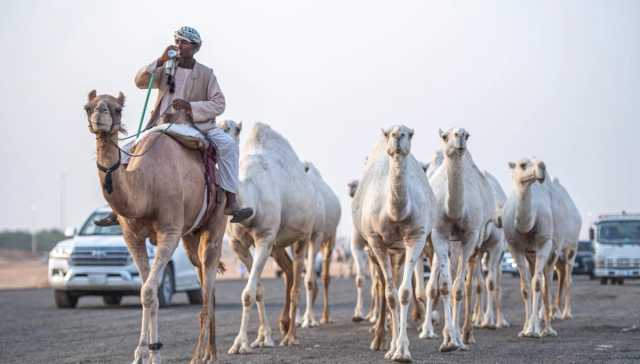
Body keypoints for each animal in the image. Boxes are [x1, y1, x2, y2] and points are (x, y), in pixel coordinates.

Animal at [84, 90, 226, 364]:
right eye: (88, 107)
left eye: (117, 108)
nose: (100, 115)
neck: (146, 185)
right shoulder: (132, 238)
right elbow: (145, 292)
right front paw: (144, 353)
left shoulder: (169, 232)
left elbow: (149, 291)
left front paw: (153, 353)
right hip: (190, 237)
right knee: (207, 284)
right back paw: (210, 352)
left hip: (215, 225)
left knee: (209, 281)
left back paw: (200, 355)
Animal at [224, 122, 318, 352]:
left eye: (235, 129)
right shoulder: (237, 244)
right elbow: (257, 290)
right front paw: (262, 337)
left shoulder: (265, 237)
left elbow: (248, 293)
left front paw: (240, 343)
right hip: (278, 244)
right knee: (288, 270)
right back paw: (281, 327)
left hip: (302, 236)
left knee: (296, 285)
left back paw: (291, 336)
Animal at [350, 125, 436, 362]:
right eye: (388, 133)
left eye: (410, 133)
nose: (398, 136)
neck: (396, 214)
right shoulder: (376, 241)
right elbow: (390, 296)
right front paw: (394, 348)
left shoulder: (415, 237)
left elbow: (403, 293)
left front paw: (403, 351)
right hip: (377, 249)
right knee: (382, 288)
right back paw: (380, 341)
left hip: (399, 250)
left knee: (397, 286)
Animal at [420, 128, 496, 350]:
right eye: (445, 136)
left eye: (467, 135)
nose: (459, 138)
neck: (455, 211)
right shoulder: (439, 234)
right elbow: (445, 286)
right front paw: (448, 341)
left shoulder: (470, 237)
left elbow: (459, 289)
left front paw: (457, 341)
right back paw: (447, 334)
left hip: (473, 242)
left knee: (467, 282)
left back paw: (465, 334)